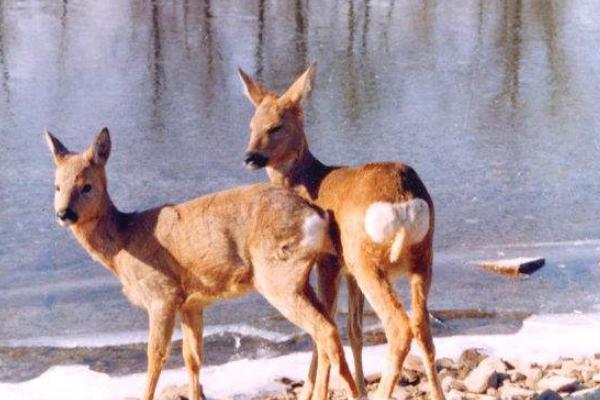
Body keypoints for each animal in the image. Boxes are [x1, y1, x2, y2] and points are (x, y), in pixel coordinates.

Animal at [45, 127, 360, 400]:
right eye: (57, 186)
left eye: (86, 186)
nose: (64, 214)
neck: (124, 242)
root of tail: (317, 215)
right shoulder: (192, 302)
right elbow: (193, 357)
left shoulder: (162, 294)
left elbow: (155, 357)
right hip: (300, 278)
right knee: (326, 329)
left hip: (278, 278)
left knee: (325, 331)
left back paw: (354, 391)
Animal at [239, 65, 446, 400]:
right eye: (252, 124)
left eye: (277, 126)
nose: (250, 156)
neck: (311, 181)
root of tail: (404, 200)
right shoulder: (347, 272)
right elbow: (354, 330)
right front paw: (357, 389)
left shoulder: (329, 261)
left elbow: (325, 329)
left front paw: (316, 391)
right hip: (422, 258)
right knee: (421, 327)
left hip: (367, 261)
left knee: (398, 326)